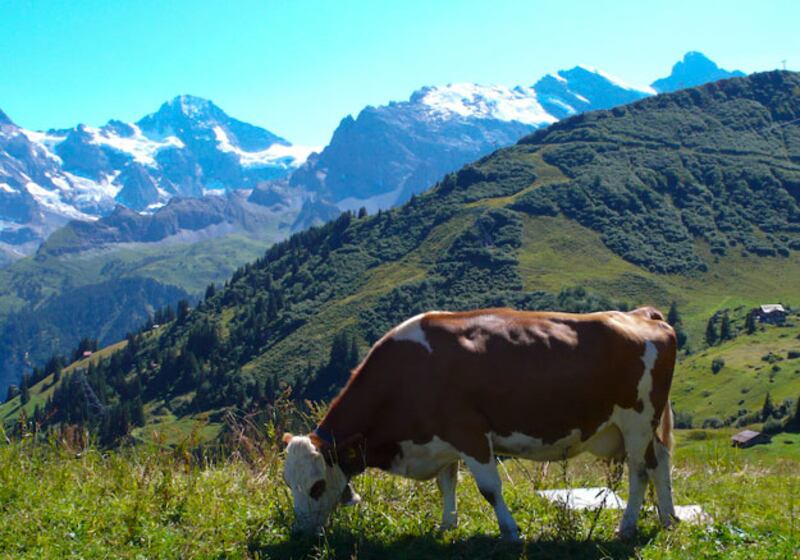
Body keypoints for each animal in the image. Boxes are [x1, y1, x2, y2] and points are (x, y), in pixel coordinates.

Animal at [282, 307, 677, 540]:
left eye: (317, 486)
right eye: (288, 483)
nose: (300, 534)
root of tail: (641, 314)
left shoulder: (469, 433)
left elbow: (489, 489)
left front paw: (510, 532)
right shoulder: (441, 440)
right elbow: (446, 484)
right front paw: (447, 525)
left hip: (637, 421)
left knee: (640, 471)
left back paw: (627, 527)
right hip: (640, 427)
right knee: (660, 462)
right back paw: (668, 518)